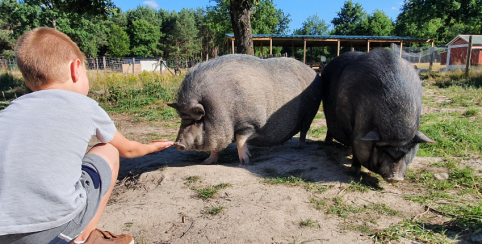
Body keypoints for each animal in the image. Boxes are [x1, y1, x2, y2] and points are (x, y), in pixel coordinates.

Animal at [168, 53, 322, 164]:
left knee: (304, 130)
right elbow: (217, 147)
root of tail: (314, 73)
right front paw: (207, 162)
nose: (177, 143)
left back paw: (301, 147)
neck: (223, 106)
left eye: (197, 120)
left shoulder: (249, 122)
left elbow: (240, 139)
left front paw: (245, 161)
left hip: (311, 111)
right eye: (182, 119)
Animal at [322, 48, 434, 183]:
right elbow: (355, 148)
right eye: (382, 149)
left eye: (407, 150)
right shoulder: (353, 130)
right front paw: (355, 171)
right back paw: (327, 144)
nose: (395, 178)